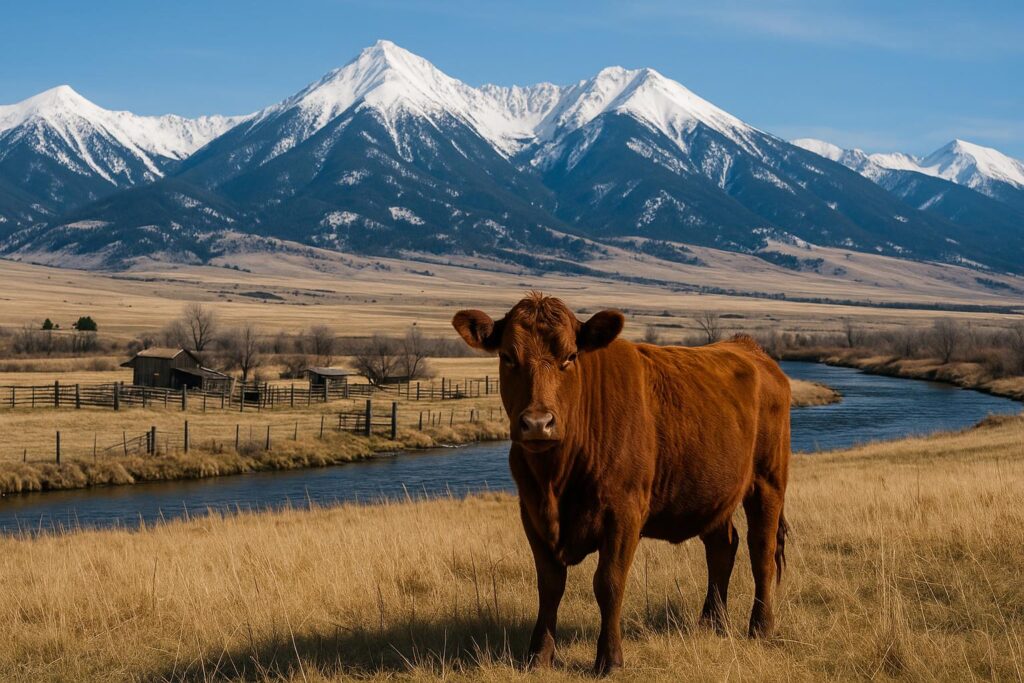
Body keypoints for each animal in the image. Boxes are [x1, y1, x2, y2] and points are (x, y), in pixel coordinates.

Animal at [452, 293, 791, 674]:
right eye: (508, 357)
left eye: (570, 356)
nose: (538, 423)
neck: (556, 481)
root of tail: (748, 347)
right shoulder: (532, 513)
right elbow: (549, 585)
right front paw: (538, 656)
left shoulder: (623, 513)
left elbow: (609, 583)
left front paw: (609, 659)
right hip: (714, 492)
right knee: (723, 548)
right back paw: (712, 624)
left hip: (768, 481)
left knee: (761, 550)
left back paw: (761, 627)